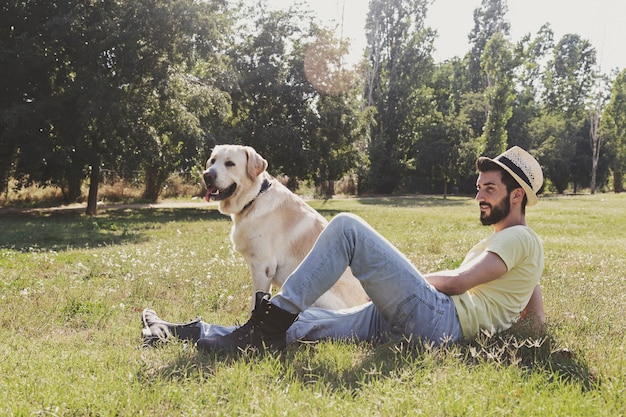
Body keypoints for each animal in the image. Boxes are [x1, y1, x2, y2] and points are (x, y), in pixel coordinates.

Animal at [200, 144, 368, 308]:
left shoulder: (263, 267)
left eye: (230, 163)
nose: (207, 175)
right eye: (212, 161)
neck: (254, 198)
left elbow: (255, 302)